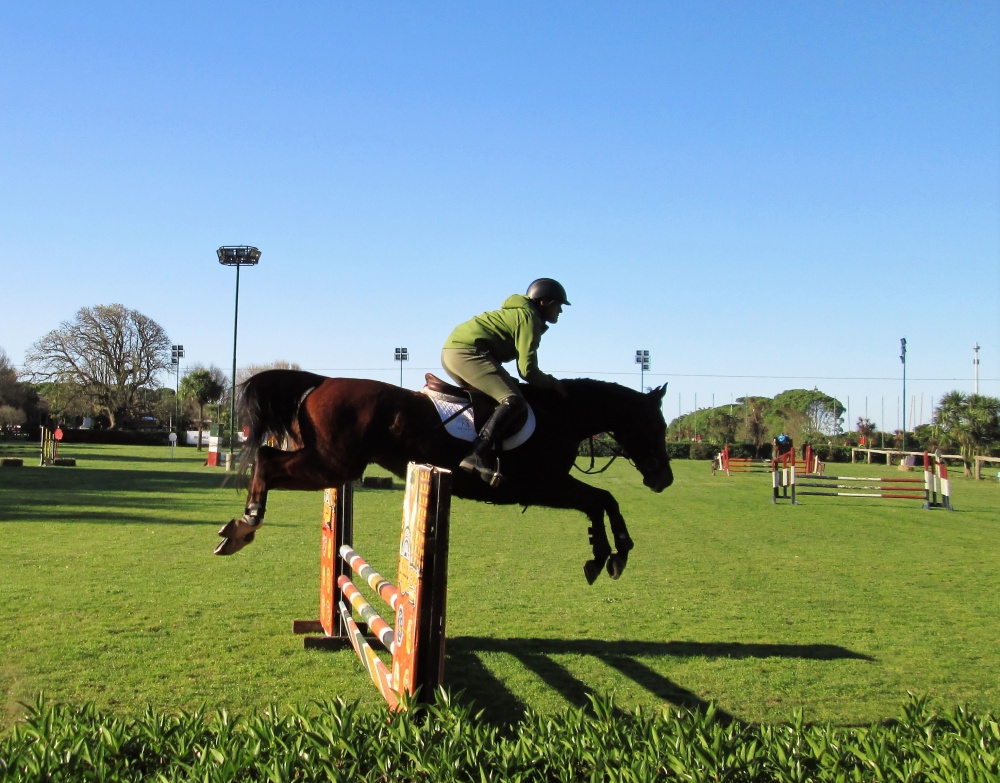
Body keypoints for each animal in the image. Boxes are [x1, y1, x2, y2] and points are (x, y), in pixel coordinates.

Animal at [217, 370, 672, 584]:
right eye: (655, 425)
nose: (664, 480)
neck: (561, 415)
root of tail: (322, 382)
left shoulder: (550, 487)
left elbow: (600, 501)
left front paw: (602, 553)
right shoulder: (545, 485)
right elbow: (602, 498)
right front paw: (615, 551)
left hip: (330, 463)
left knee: (266, 457)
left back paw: (239, 527)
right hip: (333, 464)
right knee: (267, 460)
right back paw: (245, 524)